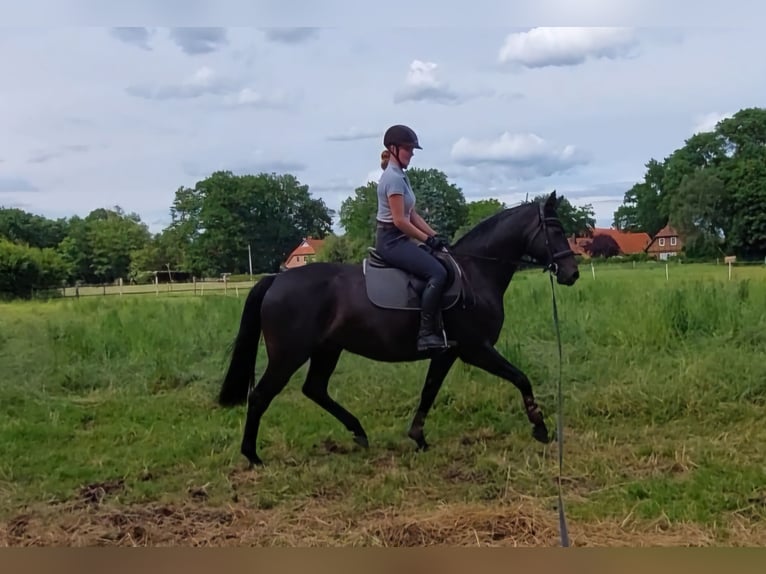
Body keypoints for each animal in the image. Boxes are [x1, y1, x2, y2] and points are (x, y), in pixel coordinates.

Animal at [217, 190, 580, 468]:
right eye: (555, 229)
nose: (571, 273)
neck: (475, 272)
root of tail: (277, 279)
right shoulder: (475, 349)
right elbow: (521, 378)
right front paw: (540, 428)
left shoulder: (447, 353)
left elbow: (429, 391)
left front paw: (418, 437)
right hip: (289, 355)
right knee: (261, 395)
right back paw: (253, 456)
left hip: (327, 349)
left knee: (315, 389)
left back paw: (359, 432)